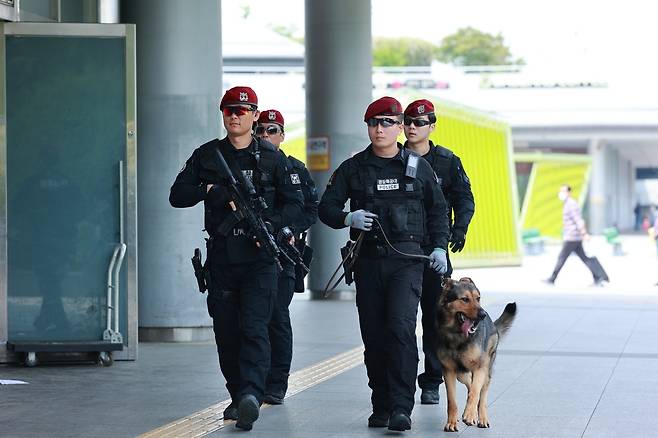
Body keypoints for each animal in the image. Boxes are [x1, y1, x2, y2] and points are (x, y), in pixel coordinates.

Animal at [434, 278, 516, 432]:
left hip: (486, 369)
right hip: (461, 374)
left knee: (481, 394)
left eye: (478, 298)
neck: (457, 335)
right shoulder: (449, 371)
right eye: (465, 299)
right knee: (469, 383)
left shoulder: (480, 367)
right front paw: (452, 422)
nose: (482, 315)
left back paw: (481, 417)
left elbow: (475, 392)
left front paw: (470, 415)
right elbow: (452, 400)